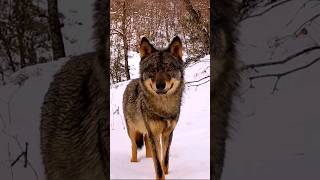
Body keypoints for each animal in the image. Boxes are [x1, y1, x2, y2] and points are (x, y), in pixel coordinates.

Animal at [121, 35, 184, 179]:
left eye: (168, 68)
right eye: (153, 69)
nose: (160, 85)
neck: (163, 108)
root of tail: (131, 82)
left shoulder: (167, 133)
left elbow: (164, 159)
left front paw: (167, 173)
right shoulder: (154, 133)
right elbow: (158, 165)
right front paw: (161, 176)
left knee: (148, 146)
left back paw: (148, 158)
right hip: (132, 131)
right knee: (134, 146)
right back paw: (134, 163)